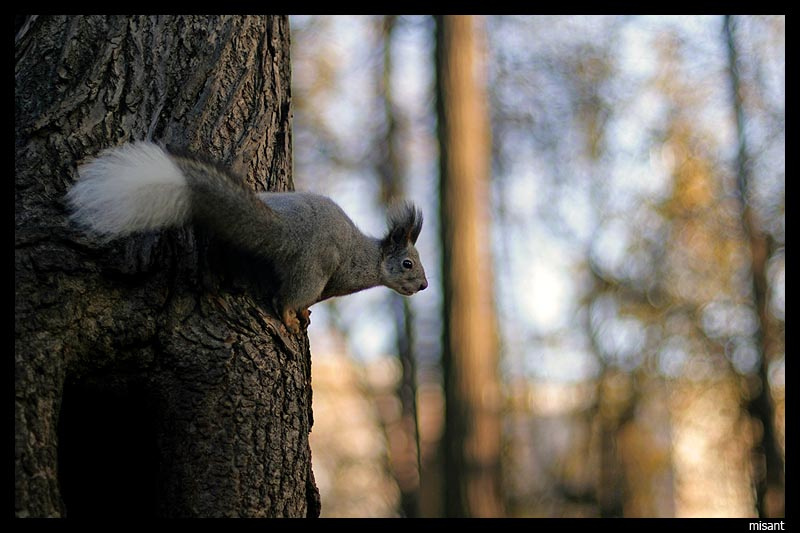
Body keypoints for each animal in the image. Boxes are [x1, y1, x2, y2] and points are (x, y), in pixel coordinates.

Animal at [66, 141, 428, 334]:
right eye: (408, 264)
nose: (424, 285)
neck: (371, 260)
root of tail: (287, 229)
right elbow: (304, 300)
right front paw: (303, 314)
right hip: (312, 270)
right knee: (287, 297)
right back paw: (289, 317)